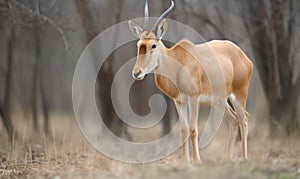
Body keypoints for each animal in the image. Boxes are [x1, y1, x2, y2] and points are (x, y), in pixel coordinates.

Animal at [127, 0, 252, 163]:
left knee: (244, 120)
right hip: (220, 101)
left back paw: (244, 158)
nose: (137, 73)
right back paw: (227, 158)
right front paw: (184, 161)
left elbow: (193, 129)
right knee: (233, 120)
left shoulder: (193, 99)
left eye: (153, 45)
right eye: (139, 45)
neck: (178, 63)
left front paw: (196, 160)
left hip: (239, 95)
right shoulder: (179, 101)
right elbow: (183, 129)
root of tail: (242, 55)